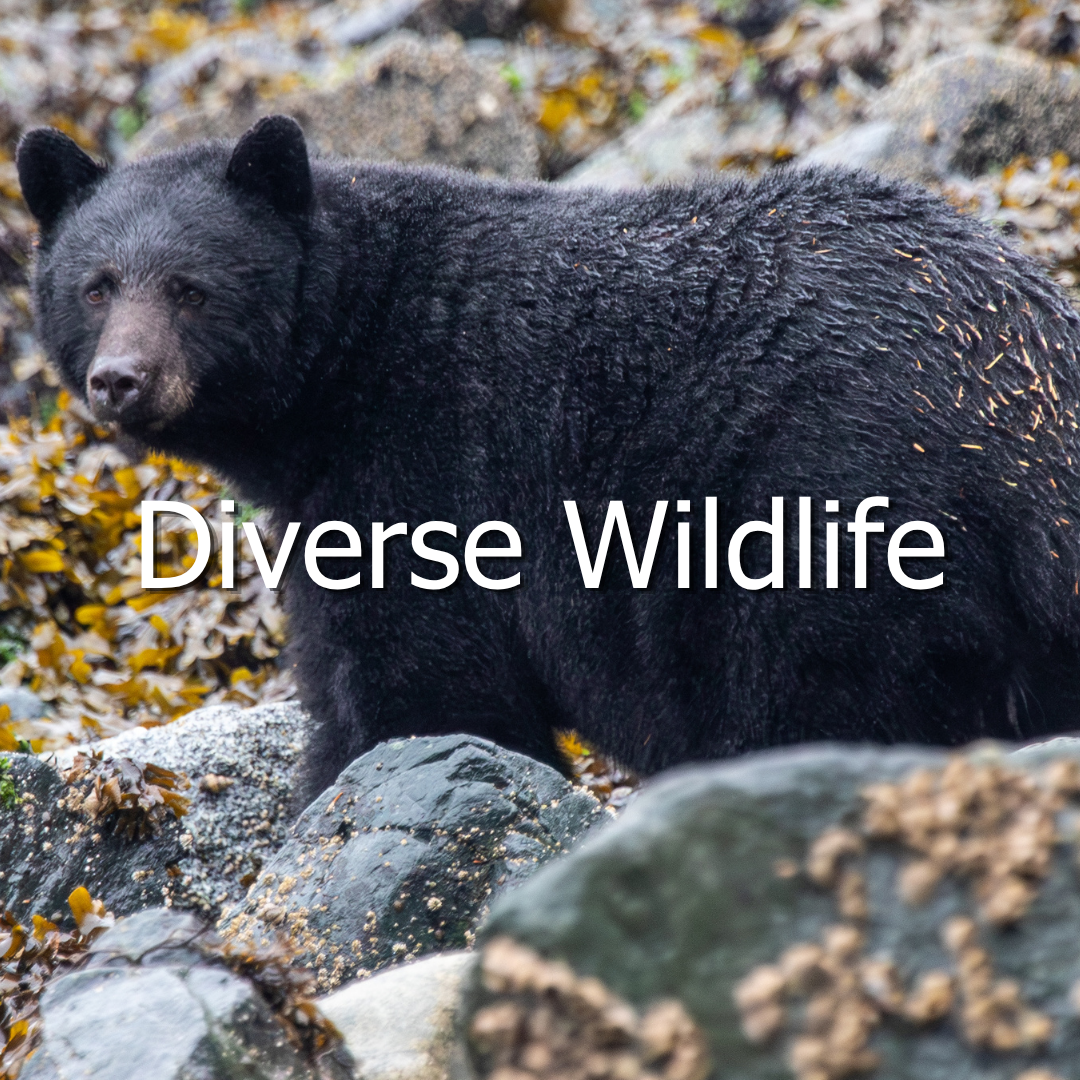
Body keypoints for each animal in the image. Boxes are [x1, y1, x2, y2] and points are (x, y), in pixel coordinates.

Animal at [16, 115, 1080, 804]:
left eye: (190, 288)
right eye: (96, 285)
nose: (121, 380)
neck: (350, 352)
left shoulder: (427, 460)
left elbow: (422, 683)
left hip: (834, 511)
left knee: (821, 699)